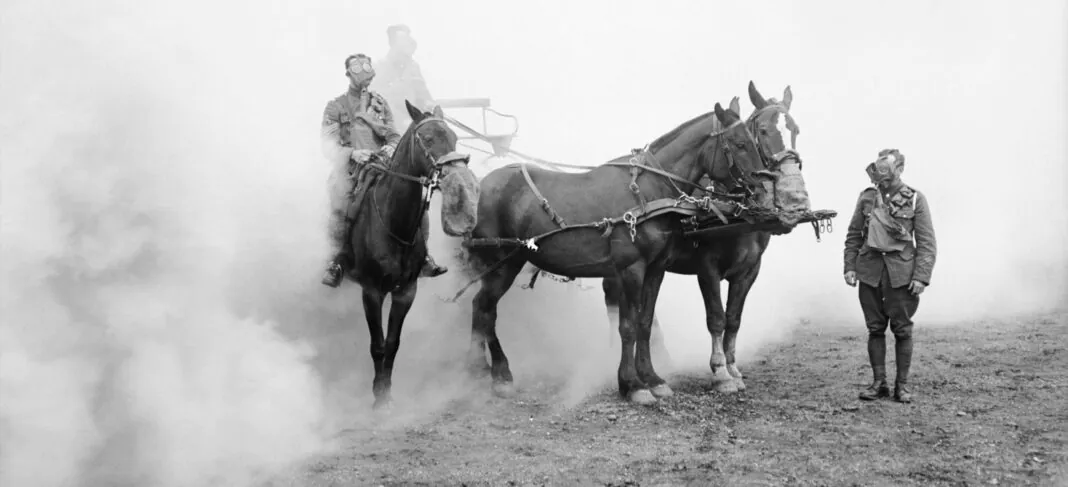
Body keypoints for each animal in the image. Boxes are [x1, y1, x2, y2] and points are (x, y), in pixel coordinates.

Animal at [343, 100, 482, 407]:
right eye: (428, 139)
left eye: (454, 137)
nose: (462, 181)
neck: (393, 223)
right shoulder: (371, 291)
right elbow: (378, 344)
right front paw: (378, 399)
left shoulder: (406, 290)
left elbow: (393, 343)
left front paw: (386, 391)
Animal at [461, 100, 777, 405]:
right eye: (740, 143)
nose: (765, 190)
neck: (648, 193)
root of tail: (482, 184)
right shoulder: (631, 269)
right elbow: (628, 326)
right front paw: (632, 385)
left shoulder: (656, 269)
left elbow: (645, 323)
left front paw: (653, 379)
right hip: (501, 265)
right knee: (485, 310)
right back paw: (494, 374)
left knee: (481, 309)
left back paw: (484, 371)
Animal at [602, 80, 807, 390]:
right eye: (763, 130)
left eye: (795, 129)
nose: (793, 197)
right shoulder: (707, 268)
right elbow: (716, 318)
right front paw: (720, 372)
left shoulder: (749, 270)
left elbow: (733, 319)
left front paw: (733, 368)